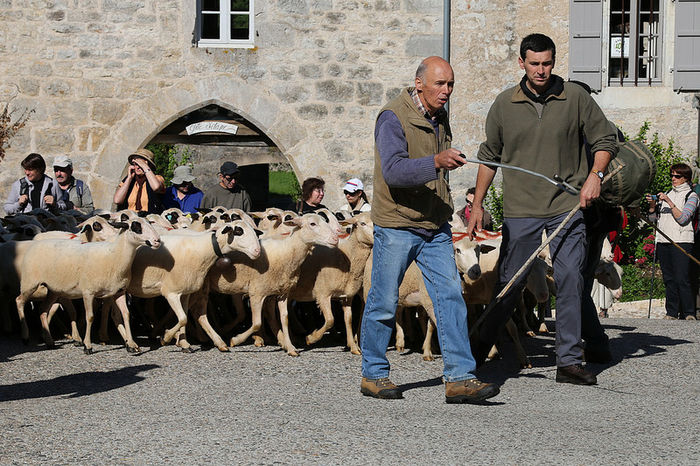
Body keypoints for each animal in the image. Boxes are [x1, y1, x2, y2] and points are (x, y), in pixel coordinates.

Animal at [15, 218, 161, 354]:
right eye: (136, 227)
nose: (158, 241)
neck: (114, 255)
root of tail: (36, 243)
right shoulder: (88, 292)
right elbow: (90, 317)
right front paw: (87, 346)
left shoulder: (119, 292)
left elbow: (125, 315)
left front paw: (131, 345)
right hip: (30, 283)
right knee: (19, 301)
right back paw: (25, 337)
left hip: (53, 290)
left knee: (43, 309)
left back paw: (49, 341)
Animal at [106, 220, 262, 352]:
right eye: (239, 231)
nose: (257, 251)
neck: (203, 250)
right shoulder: (171, 292)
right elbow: (182, 318)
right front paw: (166, 337)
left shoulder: (186, 292)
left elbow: (185, 317)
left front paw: (184, 343)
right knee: (117, 315)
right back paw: (130, 343)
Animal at [193, 212, 340, 356]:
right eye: (312, 224)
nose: (335, 239)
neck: (287, 252)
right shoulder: (256, 292)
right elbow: (257, 323)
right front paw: (236, 340)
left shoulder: (282, 293)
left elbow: (284, 319)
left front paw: (290, 347)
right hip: (202, 287)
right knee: (200, 314)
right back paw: (219, 342)